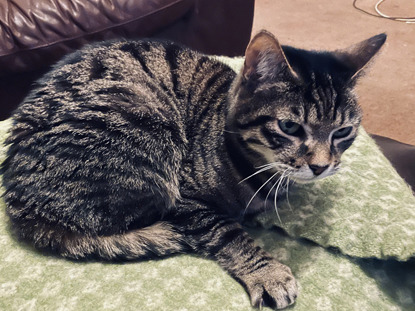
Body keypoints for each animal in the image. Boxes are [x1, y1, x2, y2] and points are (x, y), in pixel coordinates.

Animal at [2, 31, 386, 310]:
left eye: (343, 132)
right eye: (290, 127)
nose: (321, 166)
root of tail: (21, 207)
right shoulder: (186, 199)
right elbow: (228, 233)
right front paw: (268, 272)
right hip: (148, 131)